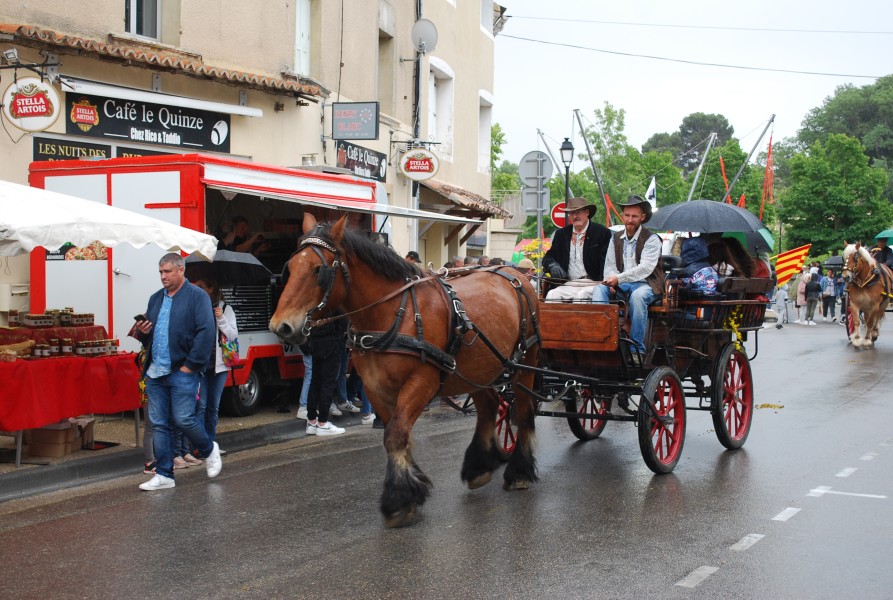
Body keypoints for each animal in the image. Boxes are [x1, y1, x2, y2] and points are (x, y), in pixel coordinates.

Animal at [268, 216, 540, 524]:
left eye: (318, 270)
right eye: (290, 268)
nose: (281, 326)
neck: (393, 314)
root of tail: (513, 273)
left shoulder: (422, 381)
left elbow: (396, 434)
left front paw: (398, 499)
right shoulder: (375, 388)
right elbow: (396, 435)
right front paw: (410, 490)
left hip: (525, 361)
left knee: (523, 411)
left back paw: (518, 472)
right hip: (478, 370)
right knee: (490, 407)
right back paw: (479, 468)